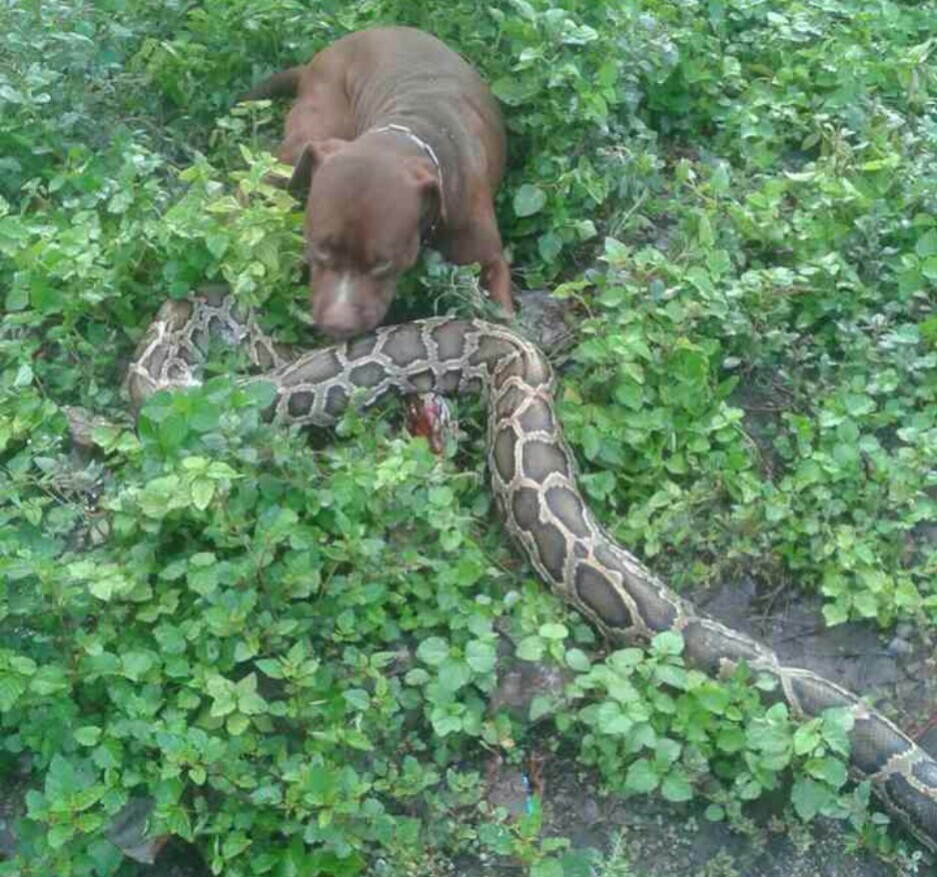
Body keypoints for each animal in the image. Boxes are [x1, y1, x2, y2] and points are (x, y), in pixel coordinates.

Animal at [243, 25, 512, 338]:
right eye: (320, 248)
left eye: (384, 263)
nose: (337, 325)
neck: (411, 131)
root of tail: (316, 59)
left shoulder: (490, 259)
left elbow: (503, 316)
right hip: (312, 136)